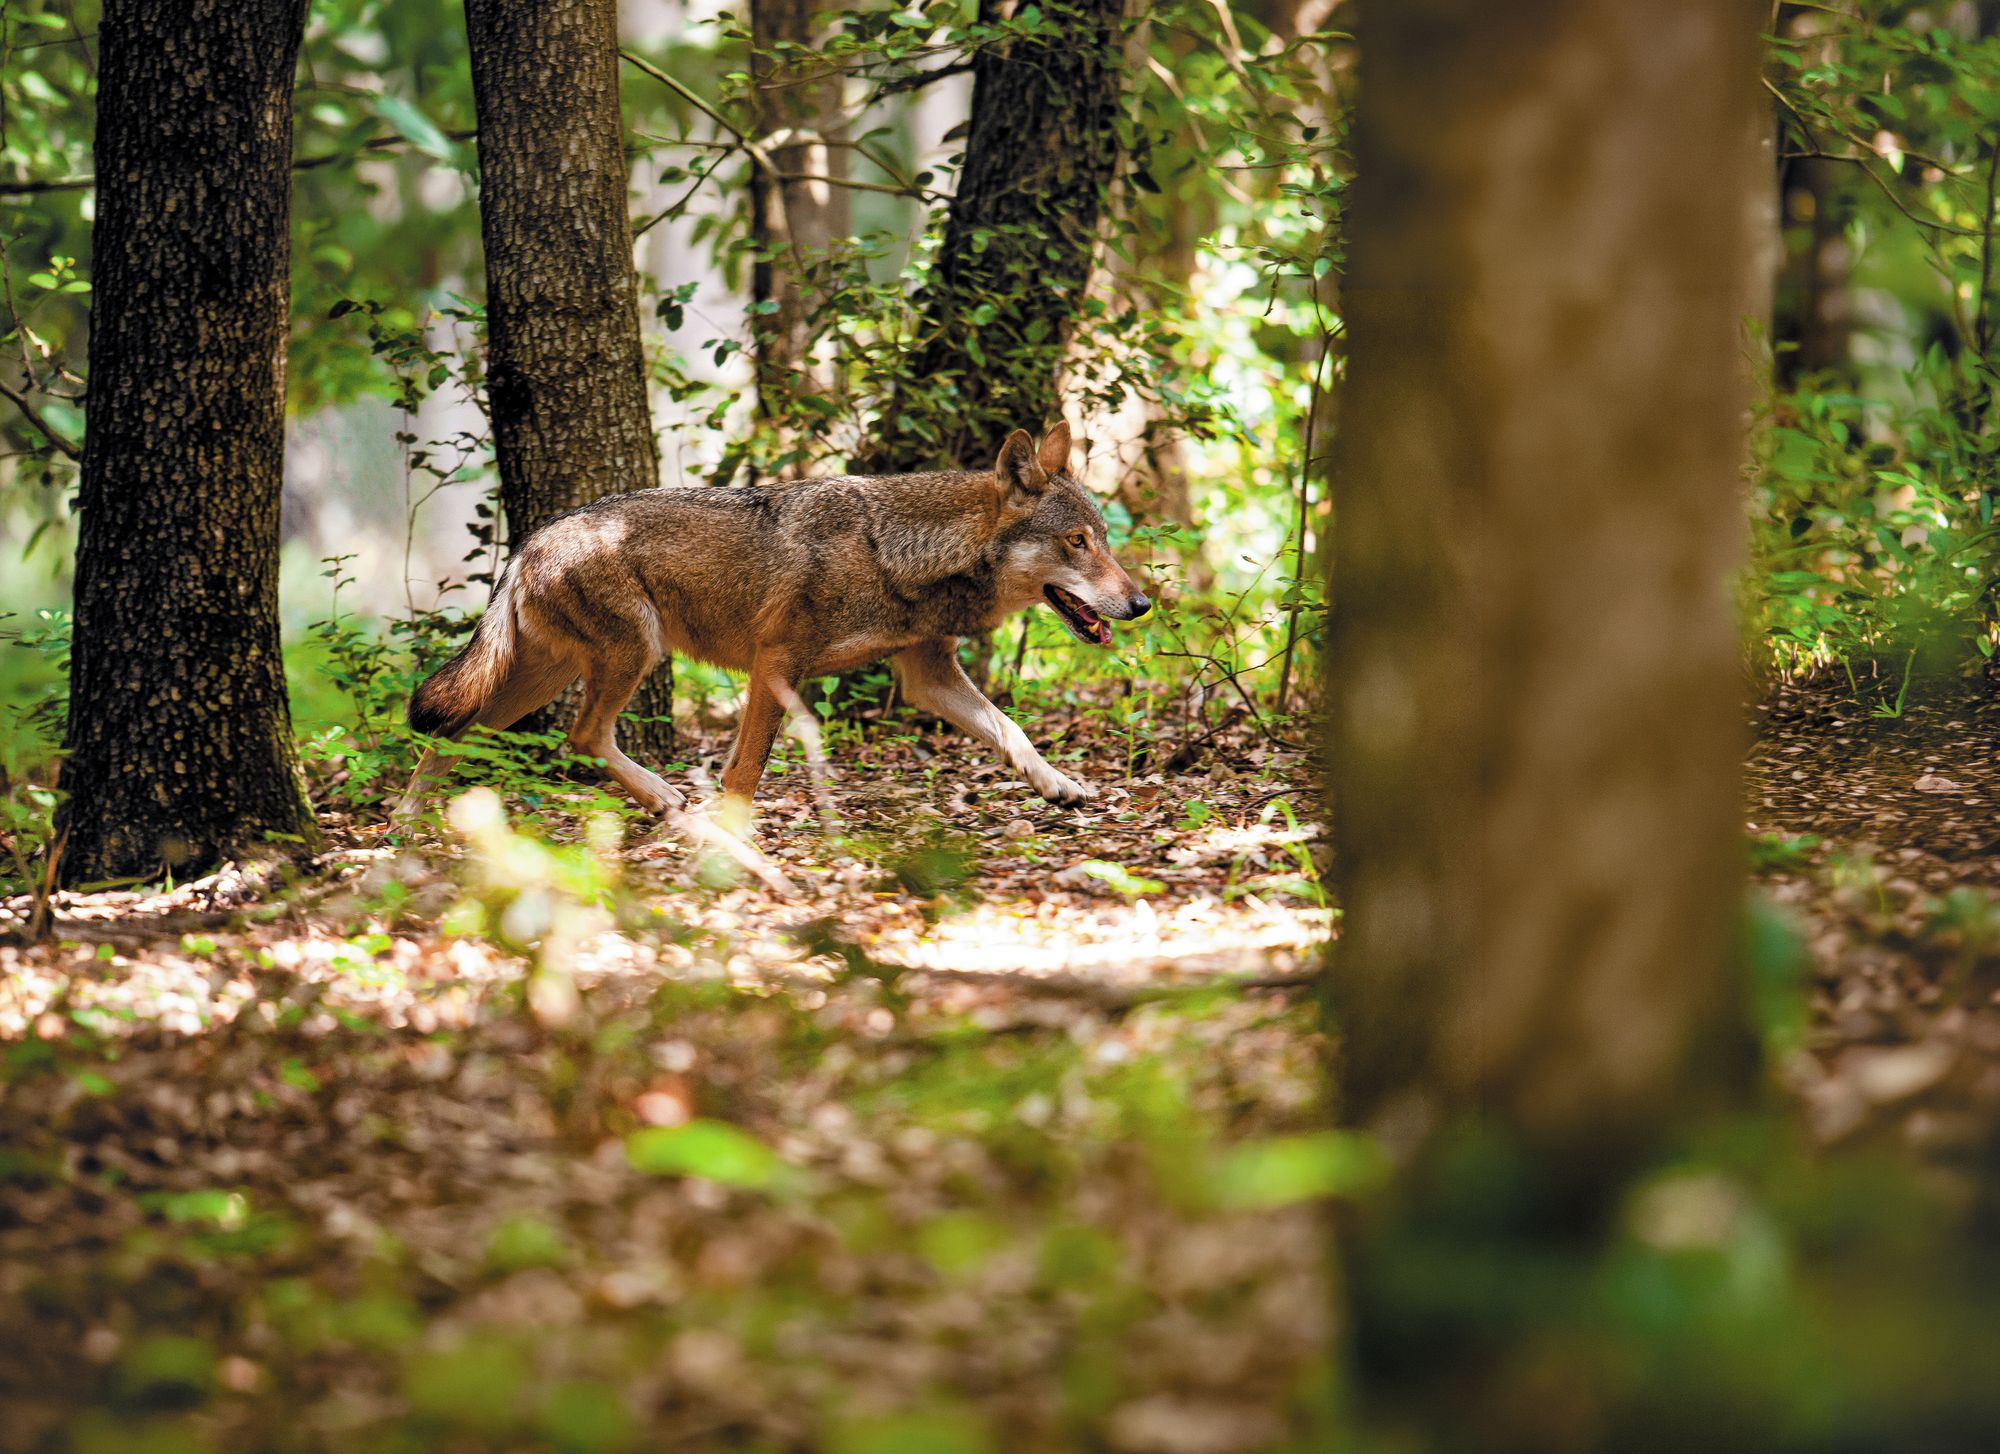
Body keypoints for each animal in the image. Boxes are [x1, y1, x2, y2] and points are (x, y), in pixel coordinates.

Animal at [398, 423, 1152, 816]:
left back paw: (405, 825)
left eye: (1103, 539)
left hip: (541, 678)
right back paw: (664, 797)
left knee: (456, 734)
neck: (901, 551)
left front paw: (1058, 784)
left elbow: (1011, 730)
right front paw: (734, 837)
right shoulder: (776, 663)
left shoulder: (926, 675)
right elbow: (746, 770)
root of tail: (530, 539)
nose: (1142, 604)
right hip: (631, 655)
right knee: (580, 737)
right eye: (1077, 542)